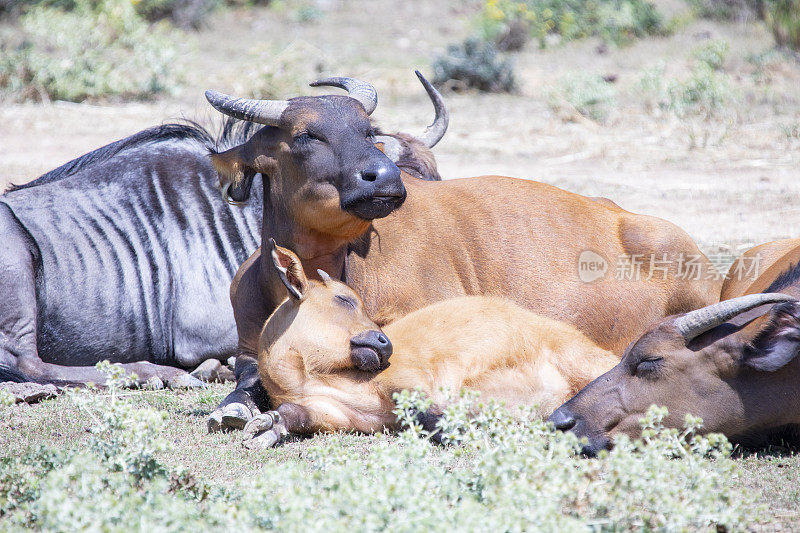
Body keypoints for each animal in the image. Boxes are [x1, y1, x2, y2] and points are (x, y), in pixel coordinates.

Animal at [244, 243, 620, 446]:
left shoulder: (410, 383)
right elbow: (292, 415)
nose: (385, 344)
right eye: (344, 299)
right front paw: (266, 426)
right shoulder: (336, 416)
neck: (314, 377)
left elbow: (432, 418)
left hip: (584, 362)